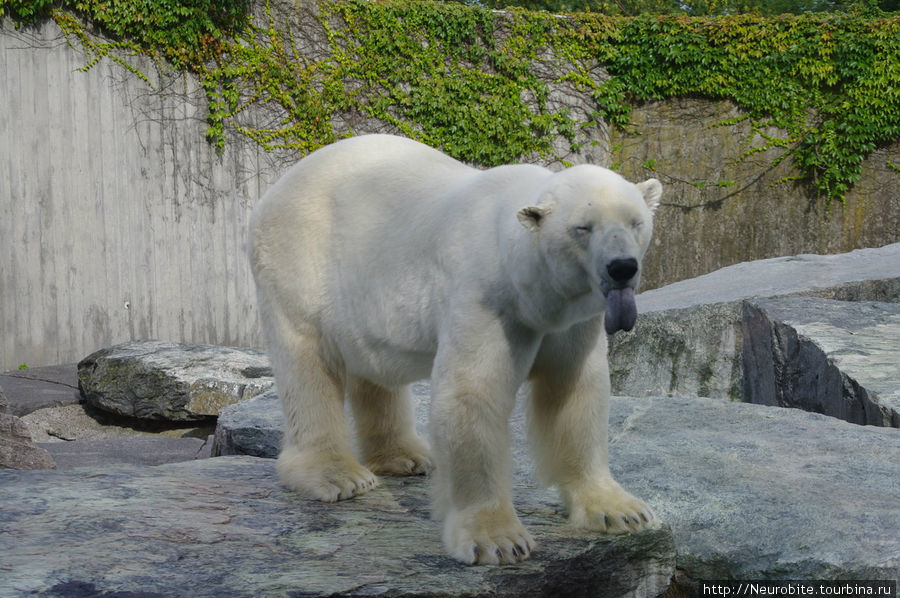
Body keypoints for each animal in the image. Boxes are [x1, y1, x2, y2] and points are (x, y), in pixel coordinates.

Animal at [250, 136, 656, 568]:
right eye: (583, 228)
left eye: (636, 221)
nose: (622, 267)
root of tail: (274, 191)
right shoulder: (486, 298)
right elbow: (472, 393)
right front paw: (497, 540)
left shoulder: (573, 322)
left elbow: (574, 393)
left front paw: (620, 510)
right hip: (299, 259)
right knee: (306, 360)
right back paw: (338, 475)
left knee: (372, 367)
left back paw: (406, 457)